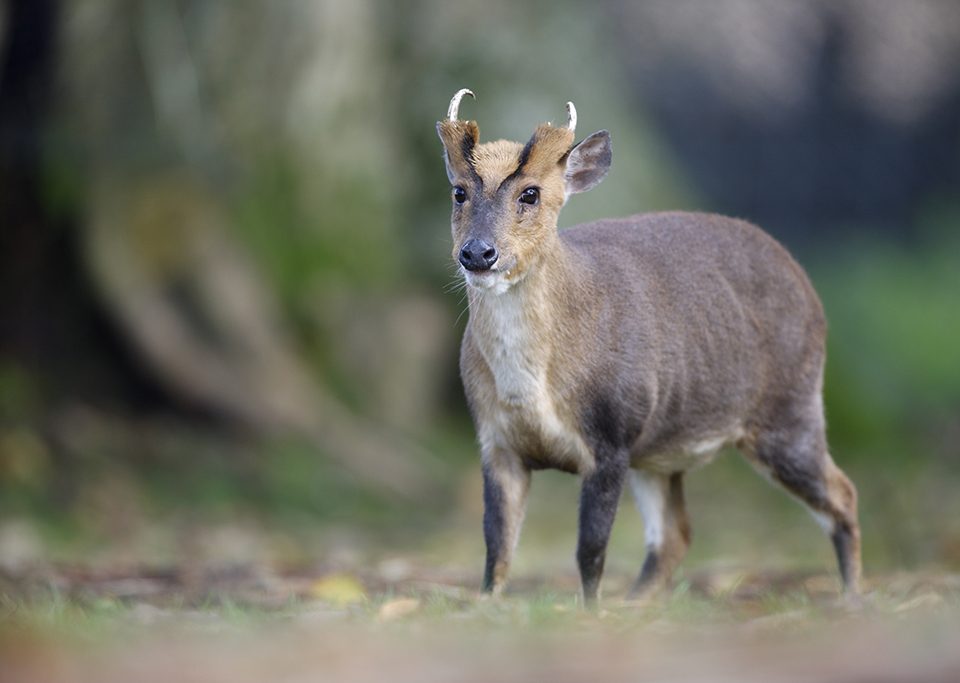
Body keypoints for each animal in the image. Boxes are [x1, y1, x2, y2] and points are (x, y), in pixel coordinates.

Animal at [438, 88, 860, 608]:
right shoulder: (496, 441)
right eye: (459, 191)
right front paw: (487, 608)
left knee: (844, 493)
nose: (478, 253)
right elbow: (497, 545)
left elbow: (590, 549)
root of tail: (806, 285)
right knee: (676, 533)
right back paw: (637, 604)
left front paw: (590, 614)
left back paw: (853, 597)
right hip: (660, 452)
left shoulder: (612, 435)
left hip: (789, 411)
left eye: (530, 193)